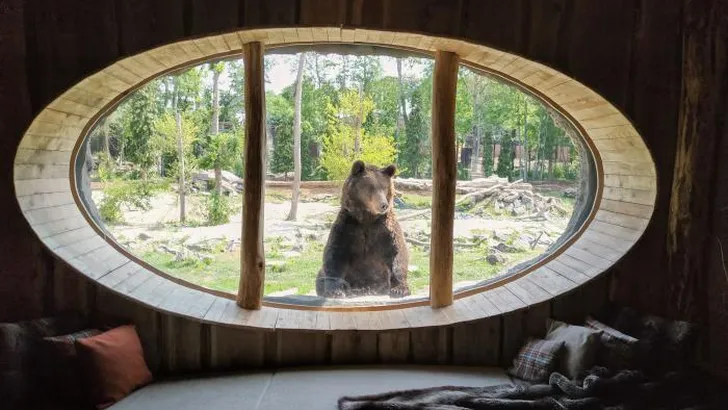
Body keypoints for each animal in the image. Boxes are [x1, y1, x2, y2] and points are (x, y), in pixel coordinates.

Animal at [318, 160, 412, 298]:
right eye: (371, 187)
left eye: (385, 187)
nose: (383, 205)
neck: (368, 218)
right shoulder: (348, 227)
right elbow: (334, 254)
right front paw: (335, 291)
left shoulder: (386, 229)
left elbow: (398, 252)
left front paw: (399, 289)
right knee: (320, 275)